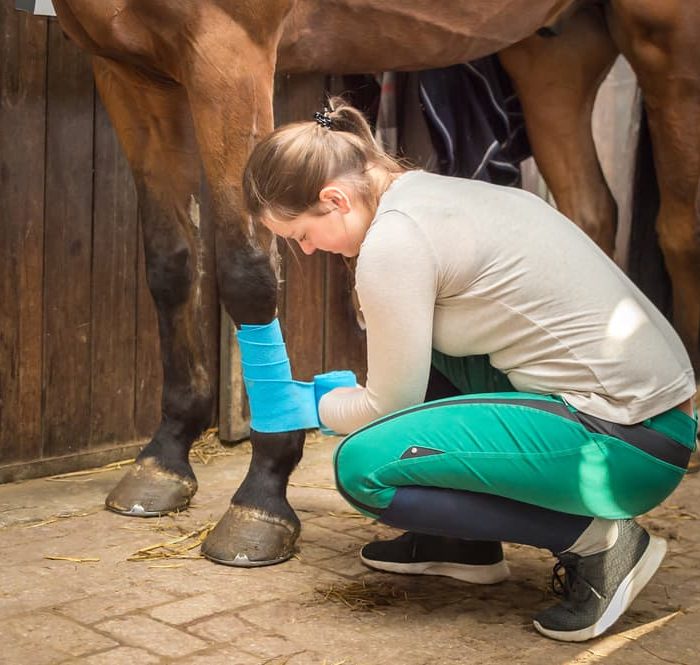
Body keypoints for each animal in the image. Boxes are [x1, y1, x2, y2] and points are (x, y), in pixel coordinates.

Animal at [45, 1, 700, 564]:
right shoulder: (128, 70)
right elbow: (171, 262)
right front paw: (165, 457)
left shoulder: (227, 48)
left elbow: (248, 274)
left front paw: (262, 496)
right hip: (553, 55)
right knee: (590, 208)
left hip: (665, 40)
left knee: (680, 228)